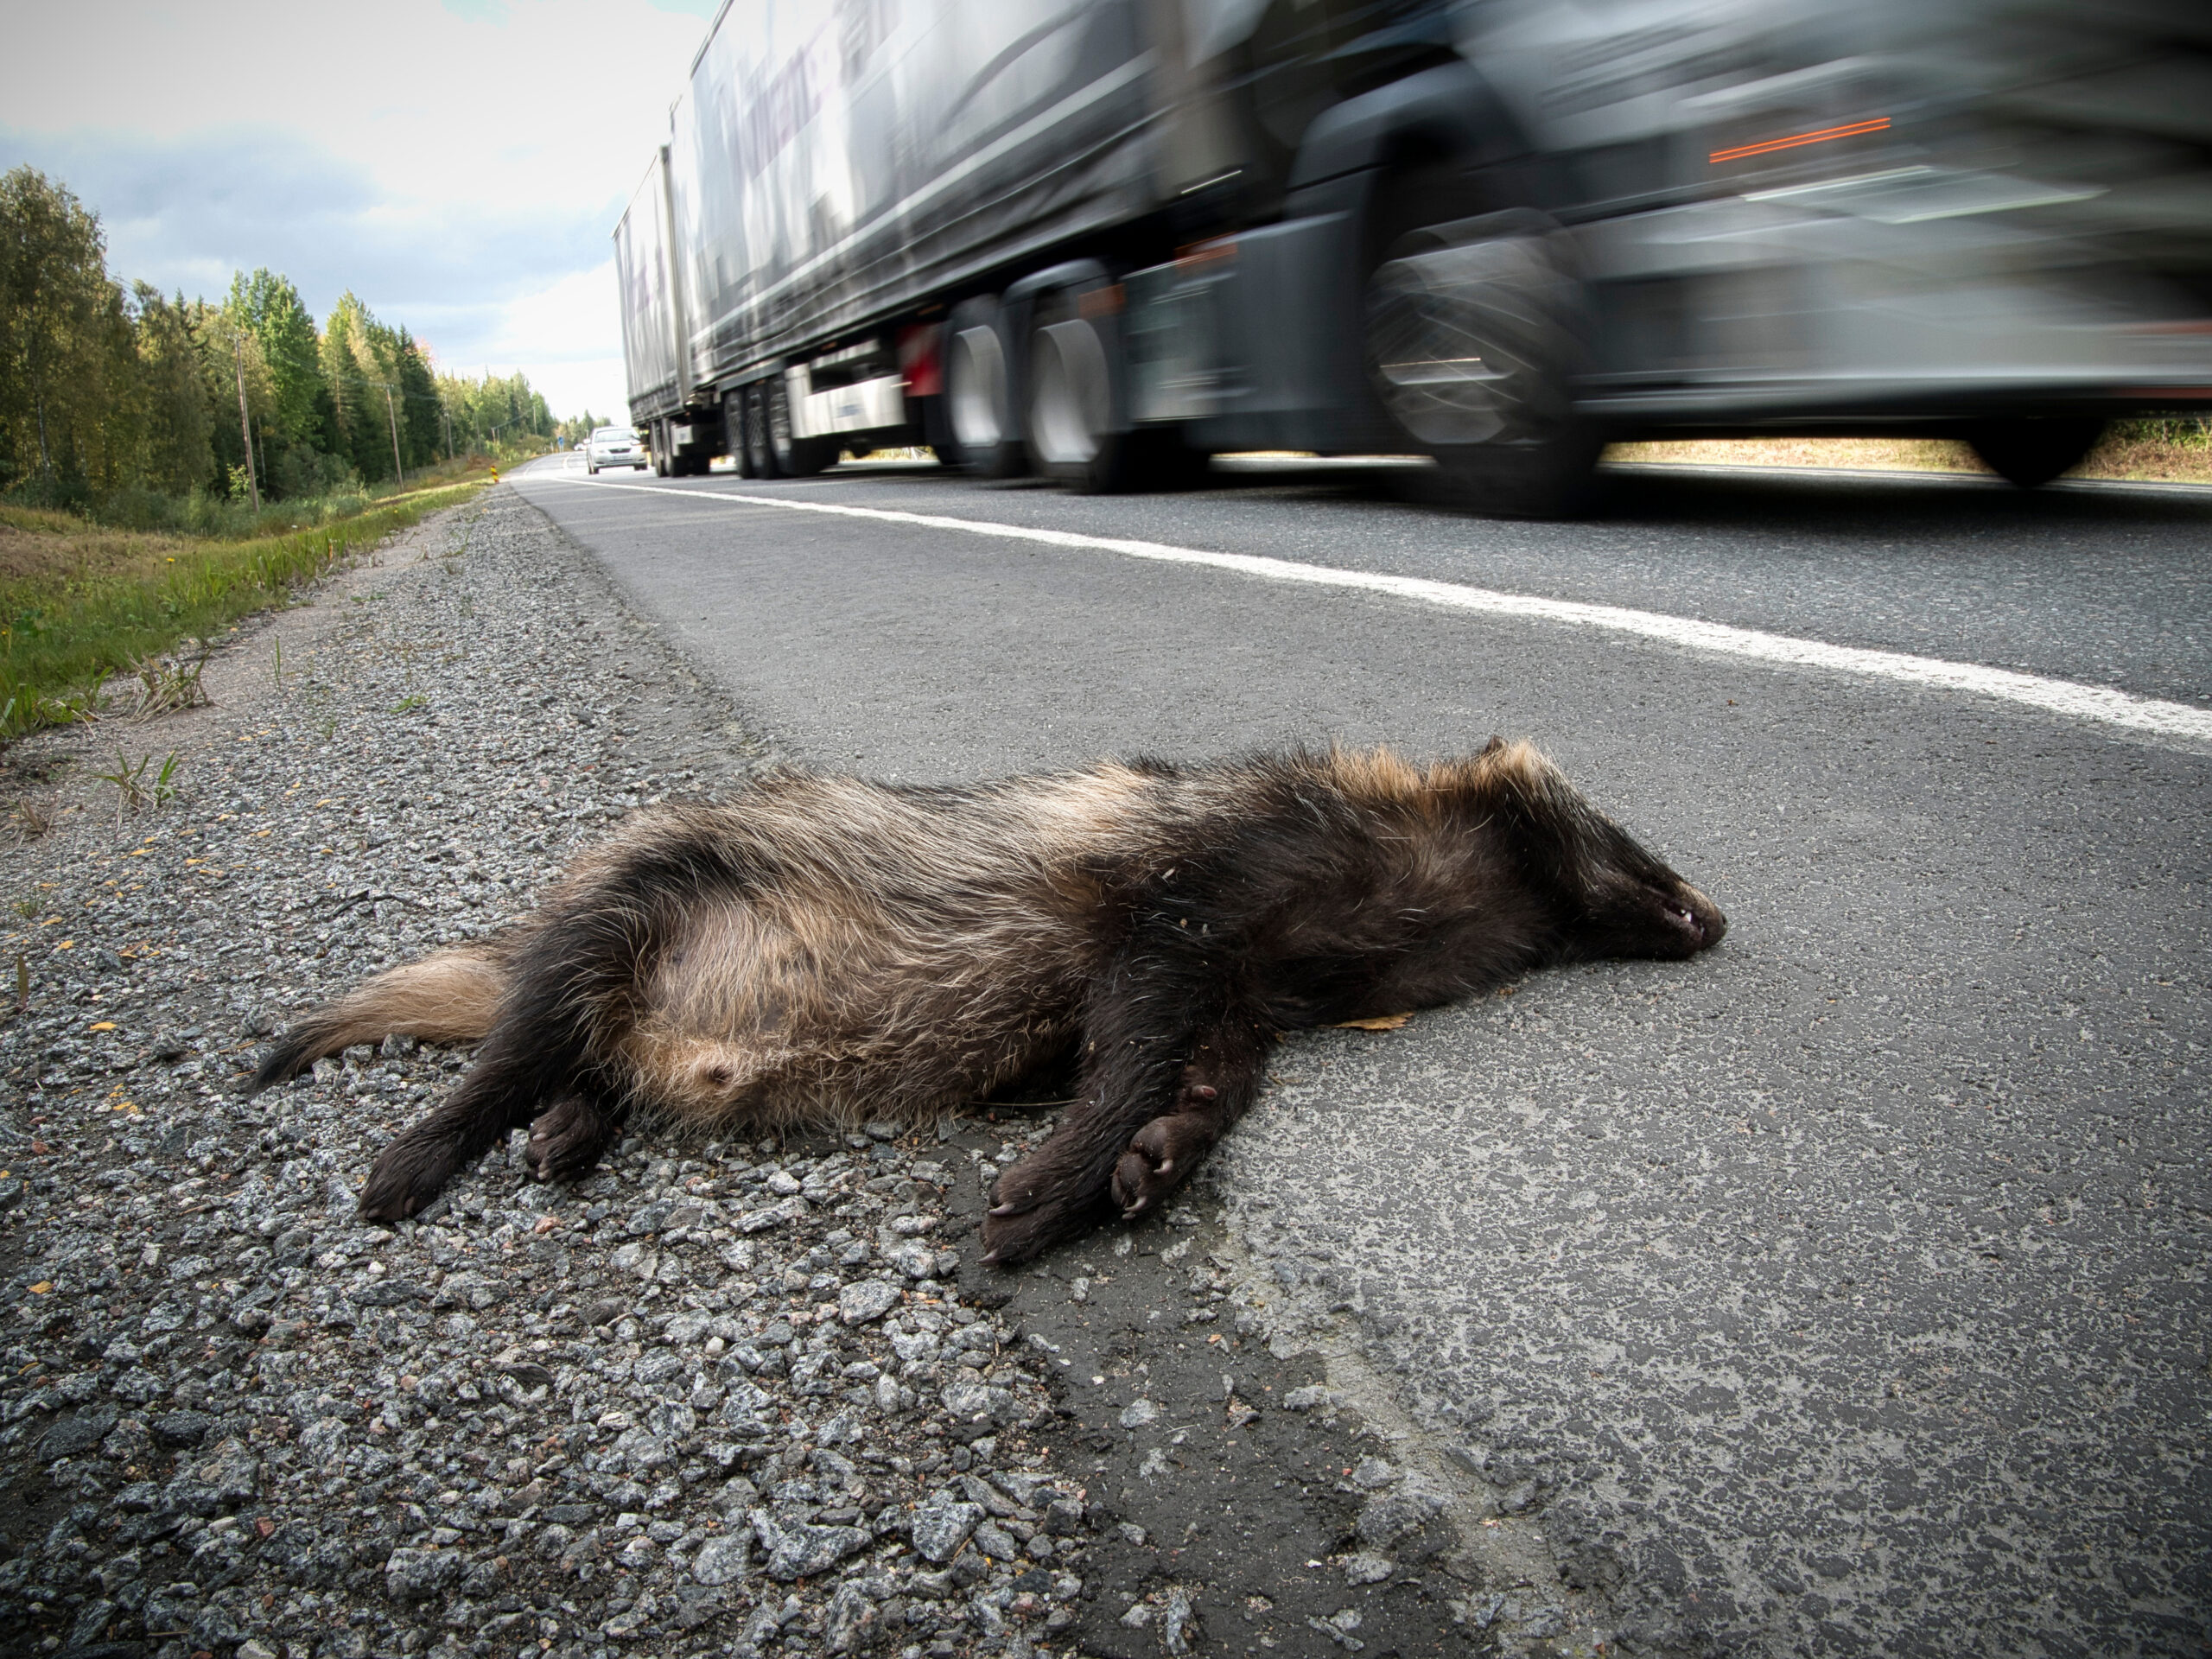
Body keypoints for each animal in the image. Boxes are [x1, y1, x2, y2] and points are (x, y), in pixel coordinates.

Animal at [246, 739, 1725, 1256]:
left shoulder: (1247, 985)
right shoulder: (1205, 885)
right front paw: (1054, 1179)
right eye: (1649, 852)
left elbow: (1209, 1075)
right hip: (644, 895)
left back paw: (568, 1128)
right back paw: (433, 1148)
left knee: (583, 1054)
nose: (1715, 917)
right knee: (525, 1033)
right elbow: (1136, 1023)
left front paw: (1146, 1162)